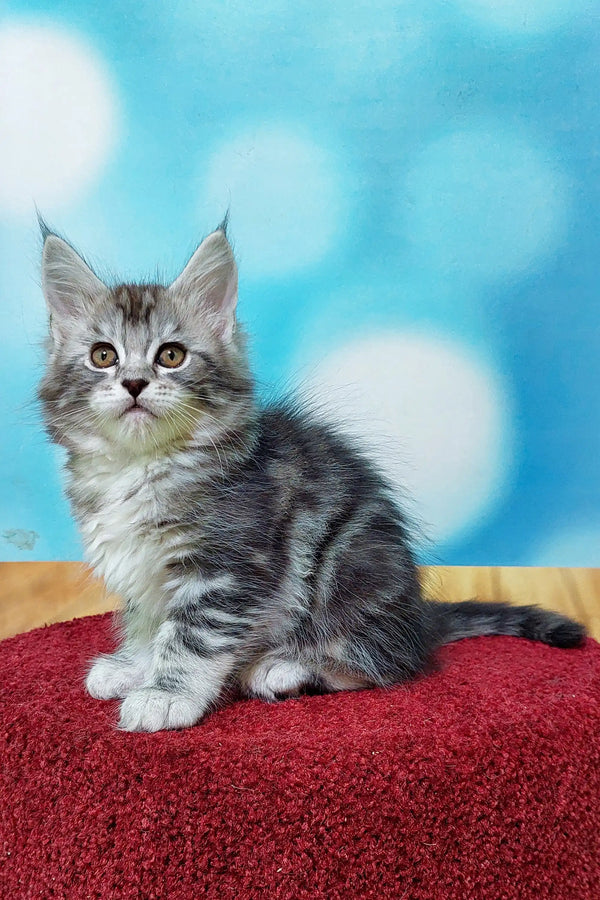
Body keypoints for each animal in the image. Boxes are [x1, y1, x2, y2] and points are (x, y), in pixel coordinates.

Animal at [38, 223, 584, 732]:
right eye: (104, 356)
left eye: (171, 355)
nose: (134, 383)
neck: (143, 464)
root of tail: (417, 617)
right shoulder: (145, 573)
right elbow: (150, 625)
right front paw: (136, 667)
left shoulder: (228, 568)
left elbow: (190, 638)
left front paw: (165, 695)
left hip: (349, 571)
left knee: (386, 664)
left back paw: (283, 667)